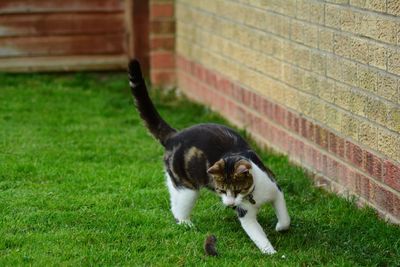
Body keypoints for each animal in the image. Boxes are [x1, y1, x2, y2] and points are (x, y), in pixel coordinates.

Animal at [128, 59, 290, 255]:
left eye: (236, 189)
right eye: (221, 190)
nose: (229, 204)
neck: (253, 196)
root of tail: (174, 136)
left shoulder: (275, 188)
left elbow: (285, 217)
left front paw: (280, 228)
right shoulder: (245, 214)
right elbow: (257, 235)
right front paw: (270, 253)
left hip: (178, 183)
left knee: (173, 200)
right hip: (188, 187)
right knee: (180, 207)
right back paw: (187, 225)